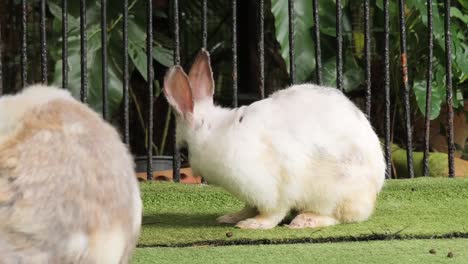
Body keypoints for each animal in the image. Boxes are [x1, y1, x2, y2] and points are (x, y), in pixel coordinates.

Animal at [164, 49, 384, 229]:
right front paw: (232, 217)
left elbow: (273, 212)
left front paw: (253, 224)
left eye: (183, 151)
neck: (214, 134)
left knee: (336, 216)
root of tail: (373, 192)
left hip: (332, 194)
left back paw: (305, 221)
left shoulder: (271, 187)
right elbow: (249, 207)